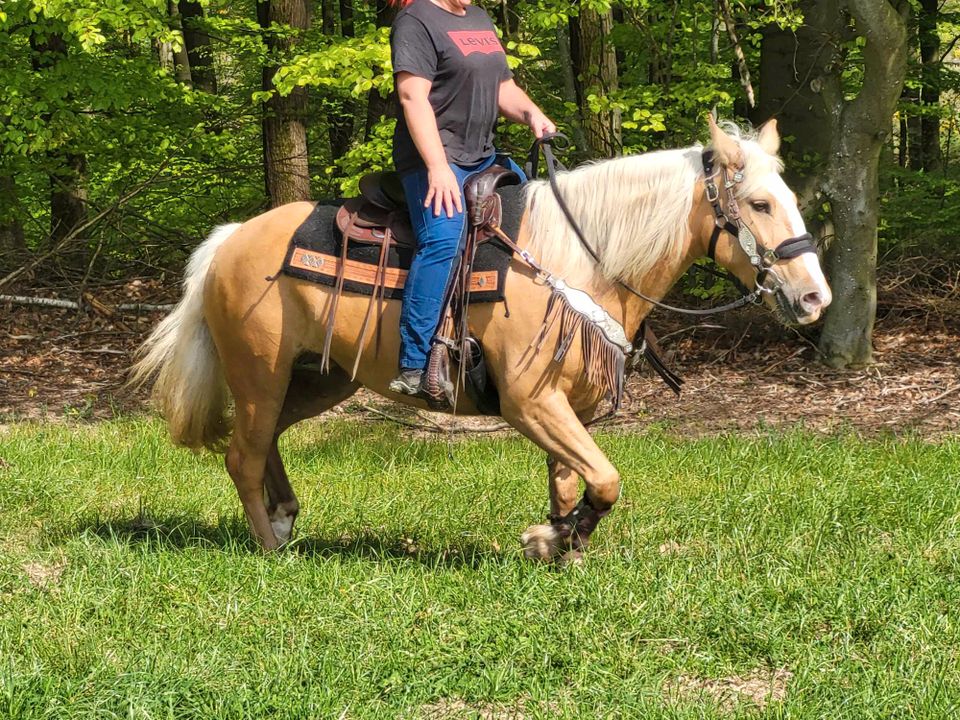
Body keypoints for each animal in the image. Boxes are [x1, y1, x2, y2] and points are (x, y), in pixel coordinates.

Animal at [133, 118, 832, 560]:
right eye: (761, 204)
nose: (814, 298)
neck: (576, 258)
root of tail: (231, 240)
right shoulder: (529, 402)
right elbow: (606, 479)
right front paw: (550, 540)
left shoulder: (569, 407)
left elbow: (575, 482)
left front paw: (562, 546)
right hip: (260, 374)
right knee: (242, 456)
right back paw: (272, 549)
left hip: (320, 378)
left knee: (267, 440)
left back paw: (284, 518)